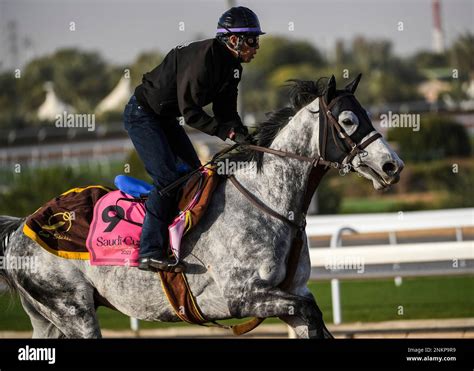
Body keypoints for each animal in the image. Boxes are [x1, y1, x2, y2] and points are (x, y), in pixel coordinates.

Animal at [0, 74, 404, 338]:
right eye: (348, 120)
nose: (392, 165)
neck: (268, 202)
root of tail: (22, 227)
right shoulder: (241, 297)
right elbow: (310, 312)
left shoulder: (292, 295)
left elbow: (315, 318)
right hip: (73, 311)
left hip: (48, 318)